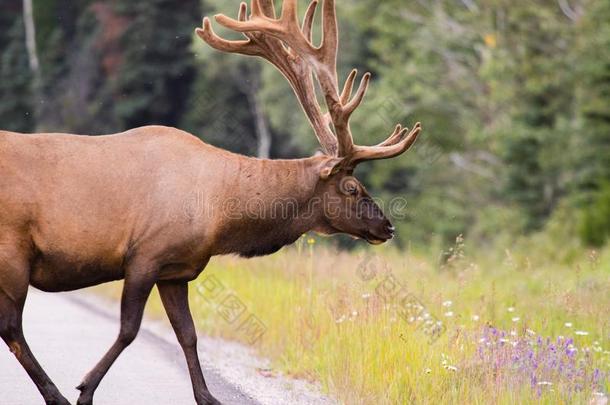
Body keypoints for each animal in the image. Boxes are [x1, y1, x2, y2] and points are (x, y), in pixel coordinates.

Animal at [0, 0, 420, 404]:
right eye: (351, 187)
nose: (387, 226)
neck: (220, 218)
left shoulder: (176, 269)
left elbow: (188, 334)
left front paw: (207, 396)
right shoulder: (145, 254)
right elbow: (129, 330)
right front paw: (85, 388)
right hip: (13, 252)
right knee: (12, 327)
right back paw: (55, 394)